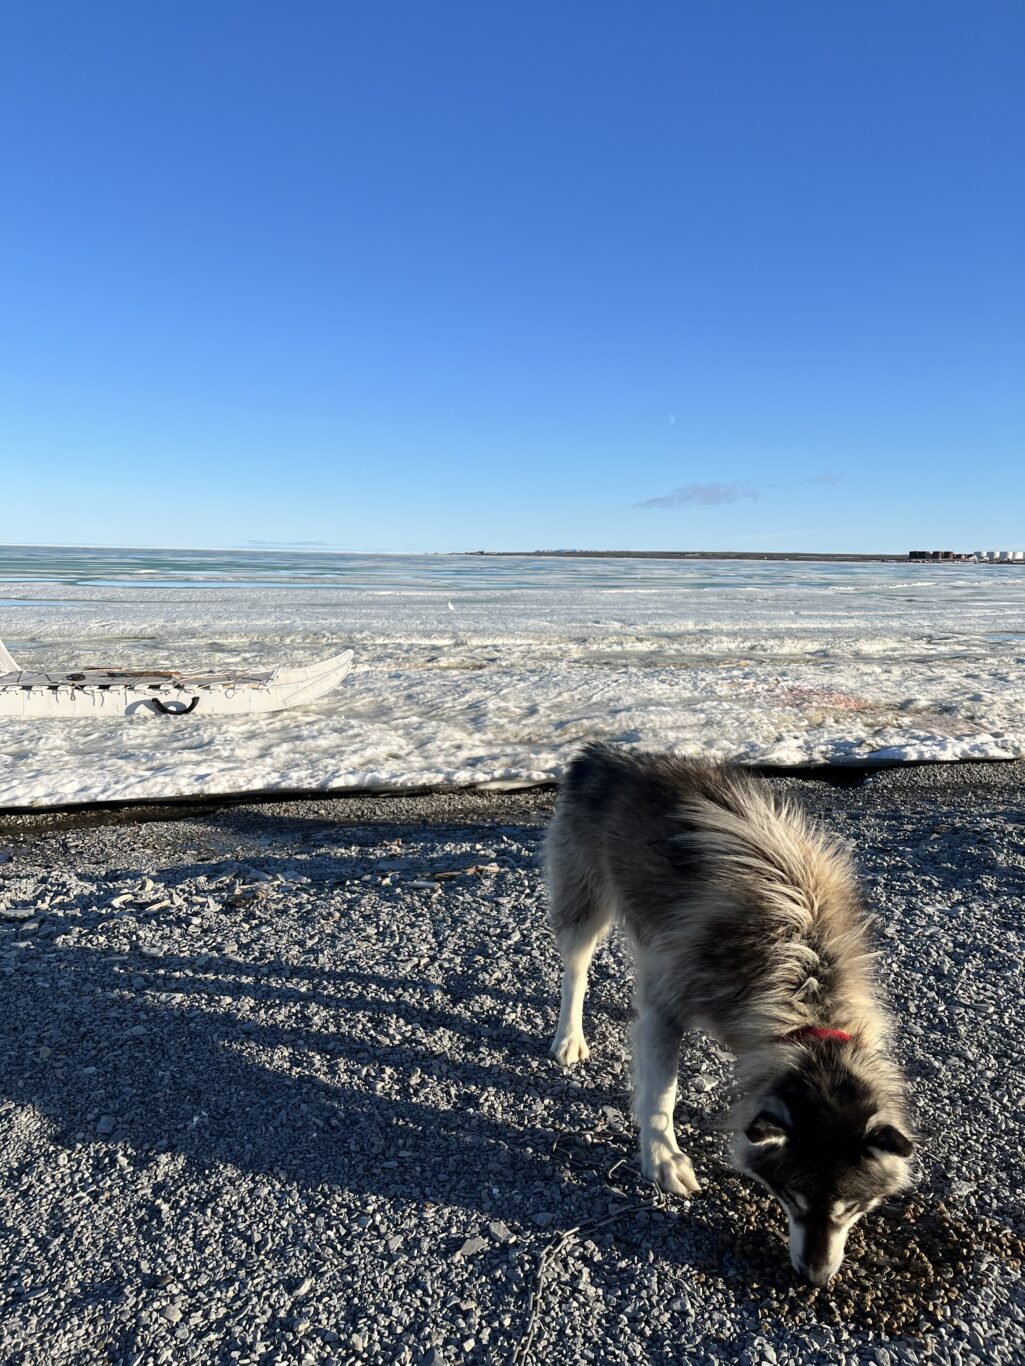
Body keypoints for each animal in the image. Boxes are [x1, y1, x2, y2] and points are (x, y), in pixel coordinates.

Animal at [546, 743, 912, 1284]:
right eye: (792, 1197)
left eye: (852, 1207)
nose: (815, 1277)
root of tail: (603, 754)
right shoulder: (669, 1003)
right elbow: (661, 1092)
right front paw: (663, 1158)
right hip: (584, 896)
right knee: (576, 967)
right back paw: (569, 1037)